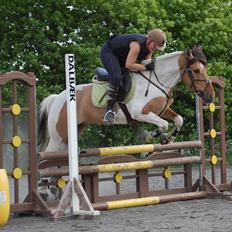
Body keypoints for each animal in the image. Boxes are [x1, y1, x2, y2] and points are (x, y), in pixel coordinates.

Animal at [37, 46, 214, 153]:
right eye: (196, 70)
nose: (210, 96)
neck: (157, 80)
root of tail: (57, 98)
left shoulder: (160, 110)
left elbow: (178, 120)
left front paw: (170, 139)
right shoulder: (140, 113)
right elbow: (163, 124)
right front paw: (152, 136)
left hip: (73, 133)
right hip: (58, 137)